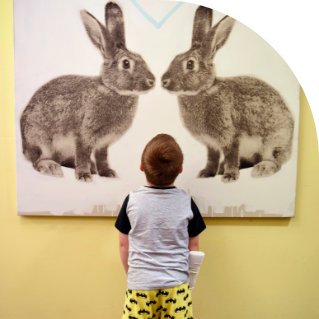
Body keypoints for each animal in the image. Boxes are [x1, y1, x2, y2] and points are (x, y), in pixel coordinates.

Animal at [19, 1, 155, 182]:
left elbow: (102, 157)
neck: (111, 89)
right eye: (126, 64)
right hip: (40, 140)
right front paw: (84, 176)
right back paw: (52, 168)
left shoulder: (103, 143)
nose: (152, 81)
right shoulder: (84, 136)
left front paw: (108, 173)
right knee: (38, 161)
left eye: (141, 58)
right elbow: (83, 154)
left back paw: (91, 168)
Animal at [162, 5, 296, 182]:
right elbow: (212, 158)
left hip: (274, 142)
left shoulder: (231, 137)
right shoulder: (211, 144)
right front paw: (206, 174)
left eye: (190, 64)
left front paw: (230, 176)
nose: (164, 81)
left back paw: (261, 169)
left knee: (276, 162)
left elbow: (231, 156)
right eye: (175, 58)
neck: (204, 90)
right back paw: (222, 168)